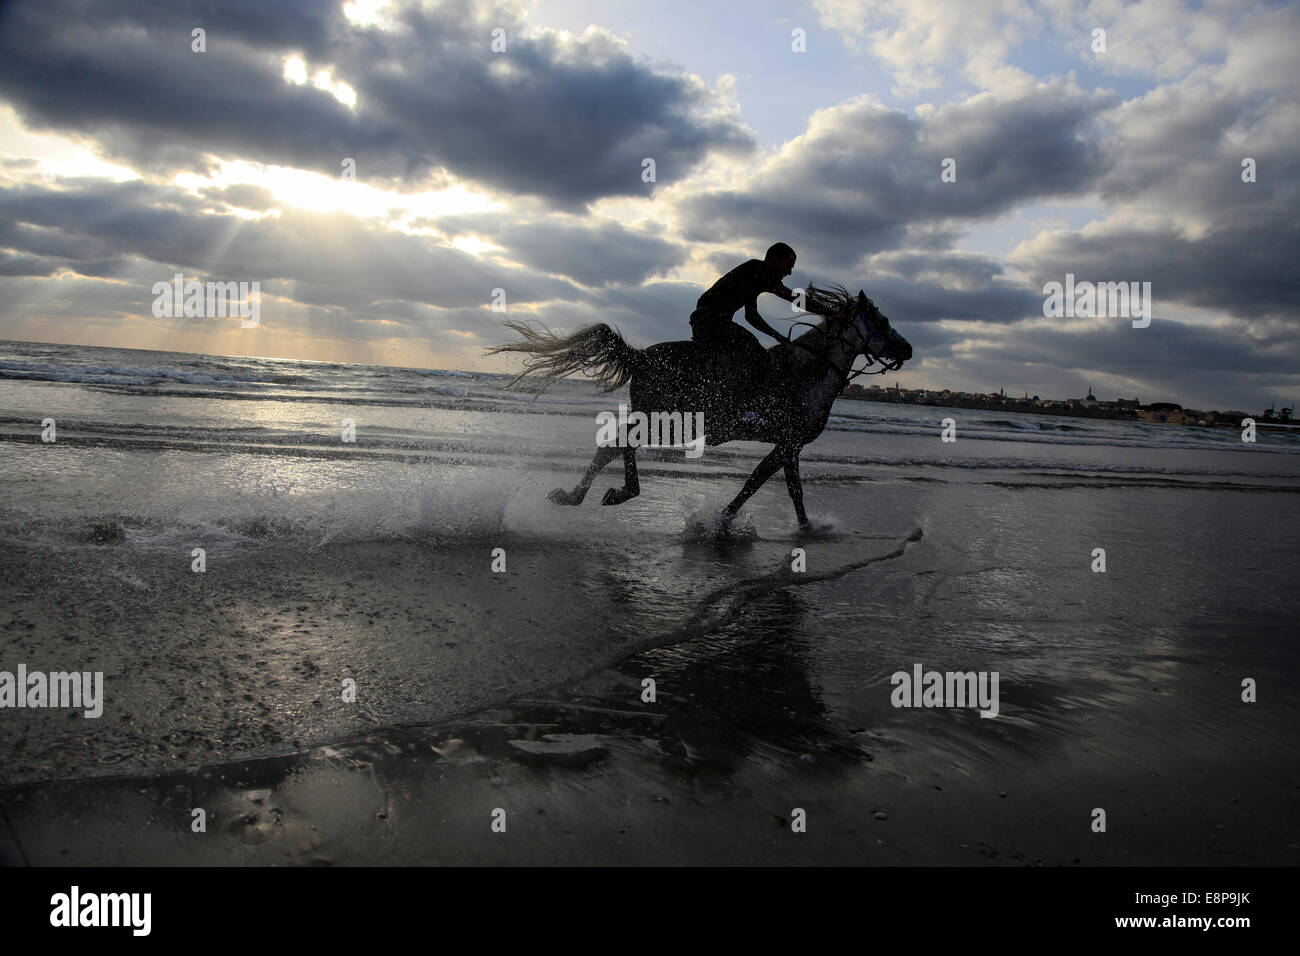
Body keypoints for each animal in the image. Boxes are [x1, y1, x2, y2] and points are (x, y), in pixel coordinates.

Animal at [484, 284, 912, 528]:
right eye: (881, 320)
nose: (906, 349)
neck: (809, 372)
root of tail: (639, 356)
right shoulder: (790, 444)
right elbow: (778, 488)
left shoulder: (787, 446)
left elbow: (771, 485)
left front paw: (742, 521)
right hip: (669, 419)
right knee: (620, 445)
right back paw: (619, 493)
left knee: (611, 446)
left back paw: (573, 496)